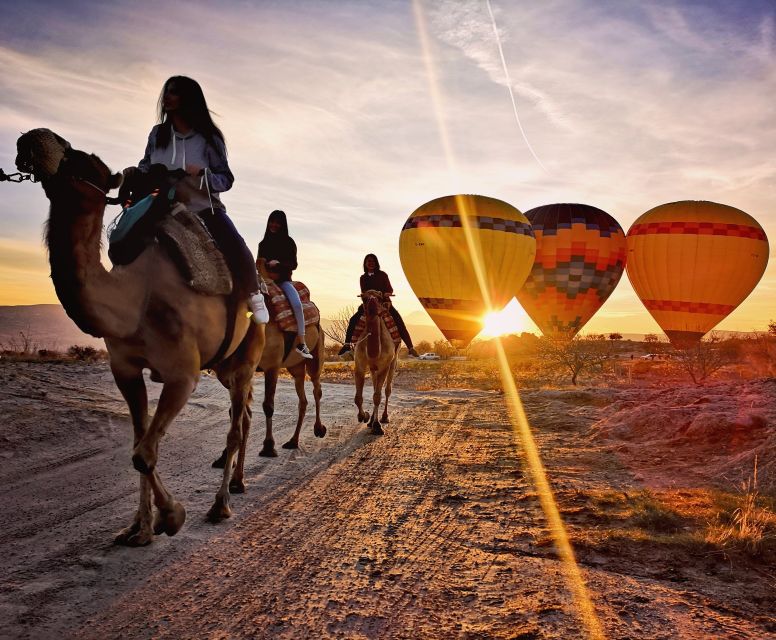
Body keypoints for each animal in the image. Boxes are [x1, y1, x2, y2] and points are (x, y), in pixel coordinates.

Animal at [14, 129, 264, 544]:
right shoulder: (125, 369)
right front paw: (140, 528)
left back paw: (220, 504)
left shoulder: (183, 374)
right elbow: (139, 442)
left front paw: (173, 515)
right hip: (224, 366)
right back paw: (238, 483)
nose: (33, 139)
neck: (135, 300)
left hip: (247, 356)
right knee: (240, 415)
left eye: (85, 161)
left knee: (235, 426)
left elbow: (143, 453)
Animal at [354, 290, 400, 436]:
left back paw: (384, 417)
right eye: (364, 298)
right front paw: (364, 416)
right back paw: (370, 422)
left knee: (387, 390)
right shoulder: (360, 365)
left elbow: (377, 396)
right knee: (375, 387)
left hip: (393, 361)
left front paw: (378, 426)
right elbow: (358, 397)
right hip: (373, 368)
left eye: (379, 297)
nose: (372, 303)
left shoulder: (384, 366)